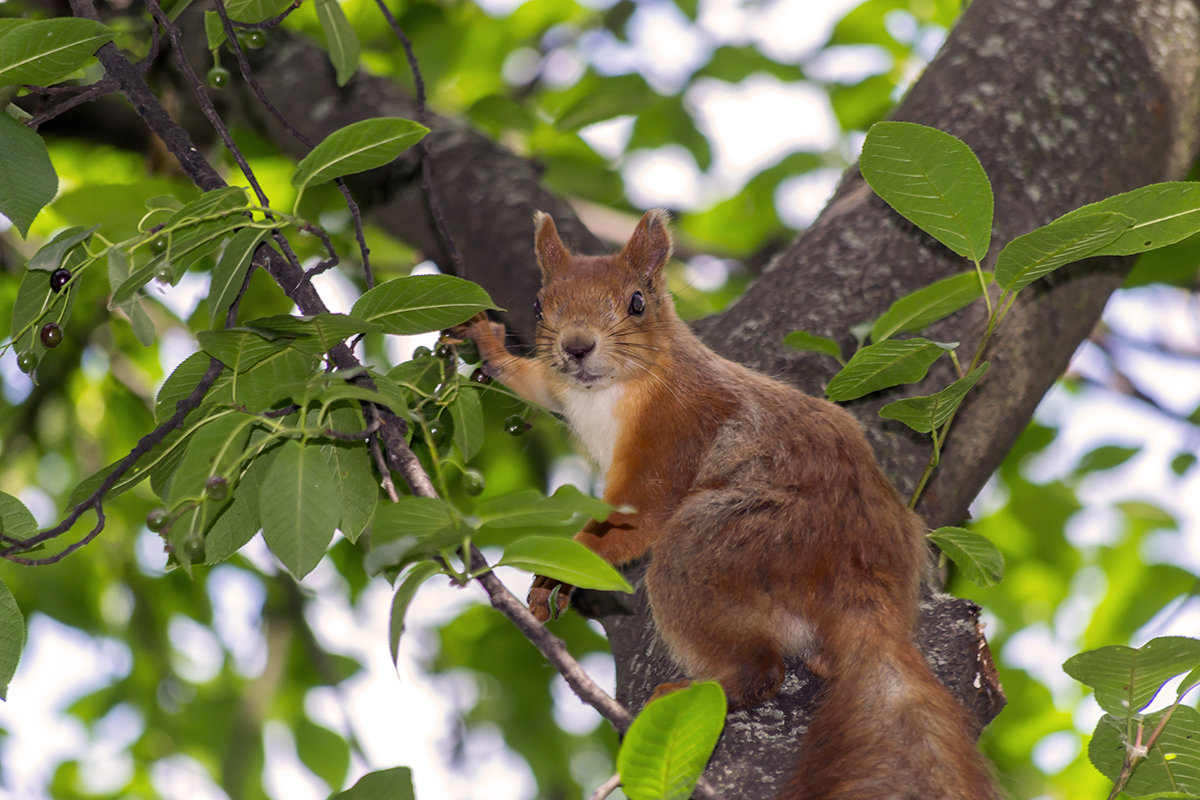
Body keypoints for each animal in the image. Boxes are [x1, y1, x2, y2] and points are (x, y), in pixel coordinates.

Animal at [453, 211, 998, 800]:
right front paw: (487, 341)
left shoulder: (674, 434)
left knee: (761, 669)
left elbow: (636, 517)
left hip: (719, 542)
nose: (576, 347)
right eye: (537, 306)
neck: (609, 391)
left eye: (637, 302)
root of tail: (859, 578)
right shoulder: (560, 388)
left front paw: (562, 570)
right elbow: (537, 381)